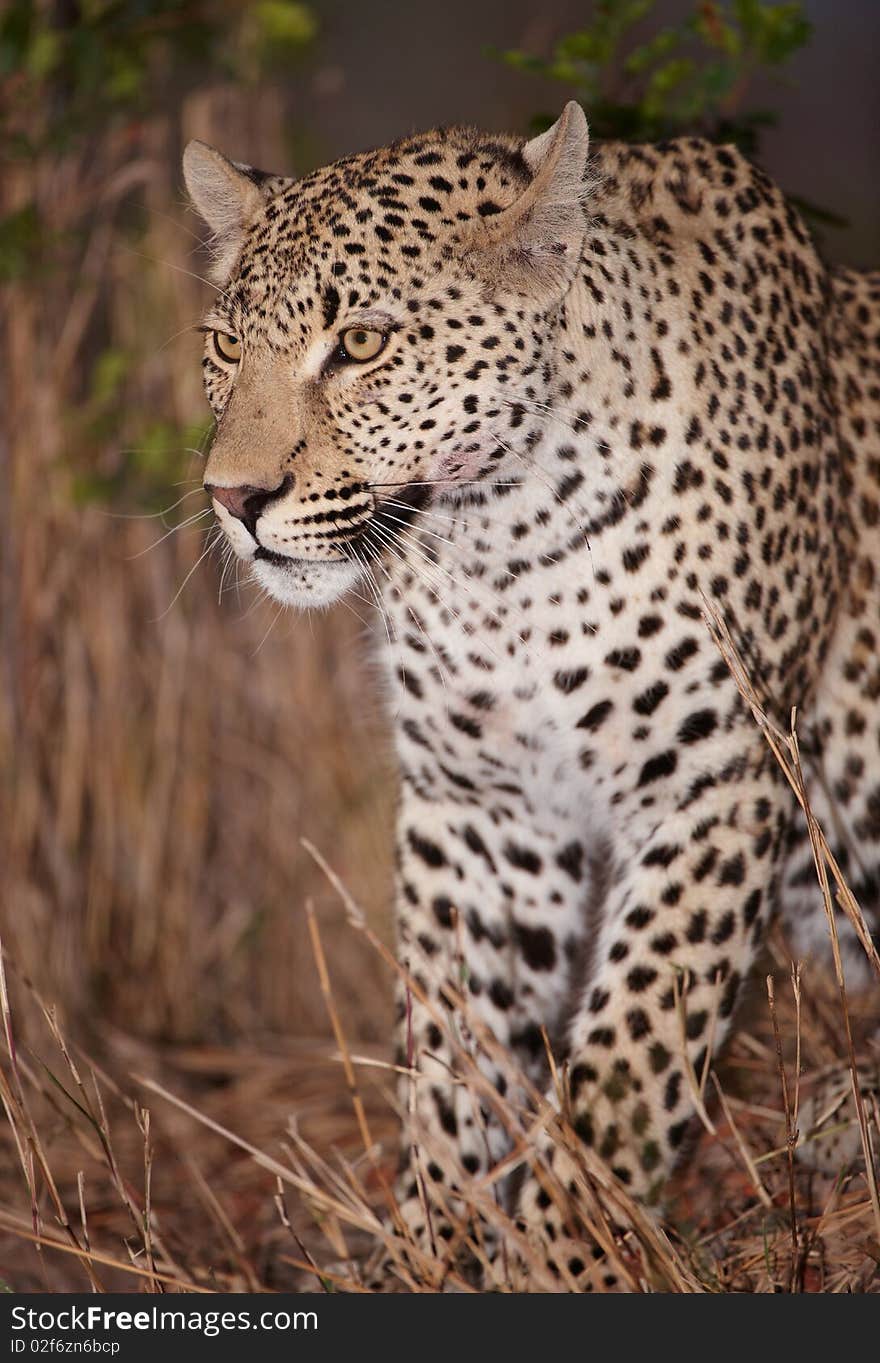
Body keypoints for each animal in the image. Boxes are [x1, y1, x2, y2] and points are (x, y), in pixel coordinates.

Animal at [181, 103, 880, 1286]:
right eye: (227, 348)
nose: (234, 499)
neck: (499, 545)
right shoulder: (478, 811)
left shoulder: (715, 786)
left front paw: (567, 1257)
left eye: (360, 344)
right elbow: (453, 1060)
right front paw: (436, 1247)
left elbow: (628, 1056)